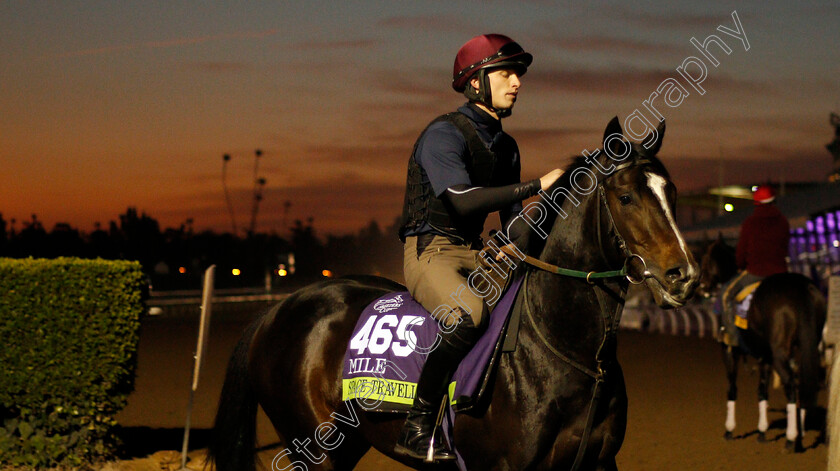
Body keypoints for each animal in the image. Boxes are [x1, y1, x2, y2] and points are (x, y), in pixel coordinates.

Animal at [208, 115, 696, 471]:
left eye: (671, 190)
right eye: (626, 196)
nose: (684, 275)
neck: (568, 352)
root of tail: (277, 310)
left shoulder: (598, 462)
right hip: (311, 447)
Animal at [696, 238, 828, 452]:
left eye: (706, 259)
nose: (702, 287)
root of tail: (802, 287)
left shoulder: (729, 350)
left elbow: (732, 388)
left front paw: (729, 429)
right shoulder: (764, 356)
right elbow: (762, 391)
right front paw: (762, 432)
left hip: (780, 353)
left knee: (791, 384)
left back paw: (791, 438)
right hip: (805, 348)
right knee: (805, 383)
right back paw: (802, 436)